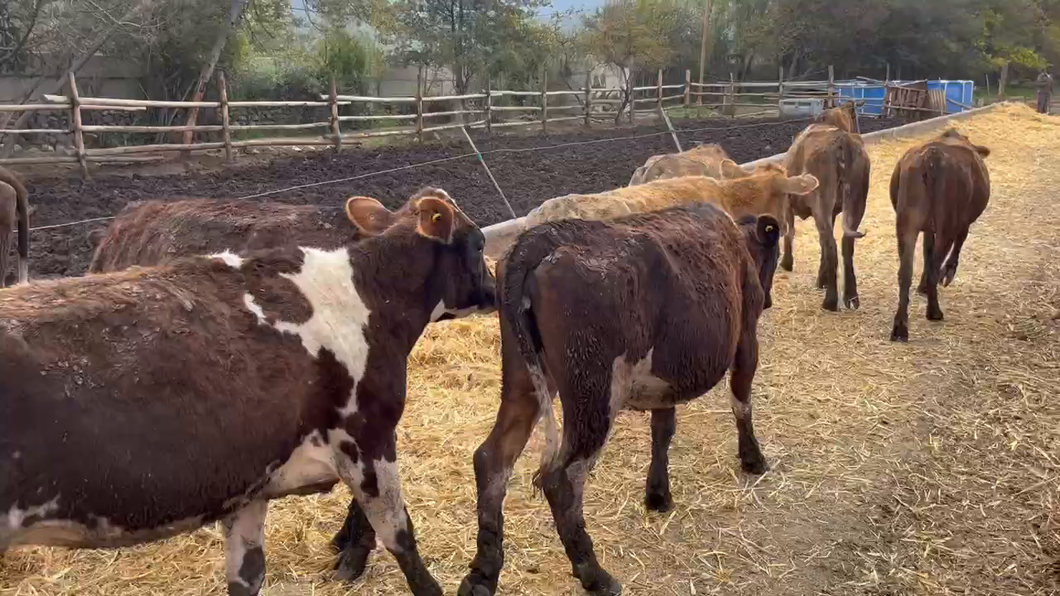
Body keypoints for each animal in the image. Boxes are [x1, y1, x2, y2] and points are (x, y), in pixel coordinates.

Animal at [0, 186, 496, 593]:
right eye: (478, 243)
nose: (493, 290)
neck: (364, 294)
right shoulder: (366, 439)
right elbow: (401, 538)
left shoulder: (249, 479)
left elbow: (248, 574)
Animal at [460, 200, 784, 593]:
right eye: (774, 257)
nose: (769, 301)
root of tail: (537, 241)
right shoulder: (746, 337)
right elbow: (741, 402)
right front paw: (753, 458)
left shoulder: (666, 378)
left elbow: (663, 429)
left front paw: (658, 494)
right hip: (593, 394)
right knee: (562, 478)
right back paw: (594, 573)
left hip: (526, 381)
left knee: (492, 459)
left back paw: (482, 574)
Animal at [780, 119, 869, 305]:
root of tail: (842, 139)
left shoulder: (787, 206)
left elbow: (789, 232)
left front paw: (786, 263)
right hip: (856, 204)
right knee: (845, 244)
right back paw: (851, 297)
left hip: (822, 204)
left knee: (831, 246)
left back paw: (830, 301)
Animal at [890, 127, 987, 341]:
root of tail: (932, 155)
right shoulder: (963, 223)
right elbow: (958, 244)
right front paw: (947, 273)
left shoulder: (928, 228)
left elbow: (927, 250)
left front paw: (922, 287)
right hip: (947, 223)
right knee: (935, 267)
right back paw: (934, 312)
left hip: (906, 222)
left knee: (905, 271)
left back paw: (900, 328)